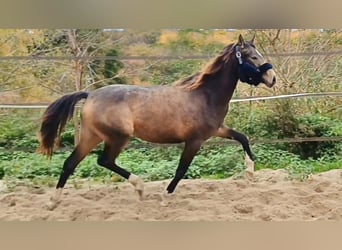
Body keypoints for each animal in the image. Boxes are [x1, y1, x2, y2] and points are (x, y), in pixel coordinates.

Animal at [38, 33, 276, 209]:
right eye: (252, 57)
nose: (272, 78)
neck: (204, 95)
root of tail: (90, 95)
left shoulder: (217, 130)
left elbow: (243, 138)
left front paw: (250, 171)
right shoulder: (195, 140)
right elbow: (181, 170)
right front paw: (165, 196)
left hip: (92, 136)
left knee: (70, 163)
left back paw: (52, 202)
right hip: (117, 138)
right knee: (104, 160)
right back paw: (140, 187)